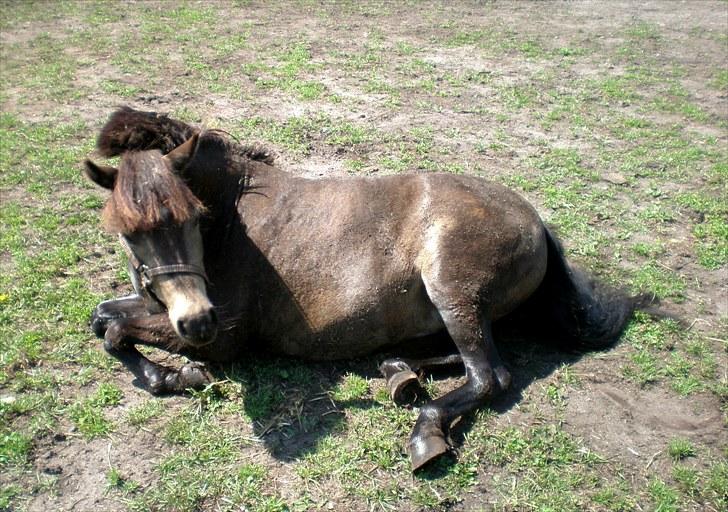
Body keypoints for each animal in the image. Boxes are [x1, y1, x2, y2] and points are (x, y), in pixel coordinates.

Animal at [84, 107, 645, 470]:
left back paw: (426, 433)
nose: (197, 320)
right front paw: (167, 375)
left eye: (192, 216)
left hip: (452, 290)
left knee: (490, 375)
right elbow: (104, 318)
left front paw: (178, 375)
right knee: (471, 359)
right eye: (126, 231)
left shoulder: (226, 338)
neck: (230, 216)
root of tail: (536, 220)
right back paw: (400, 372)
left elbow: (116, 329)